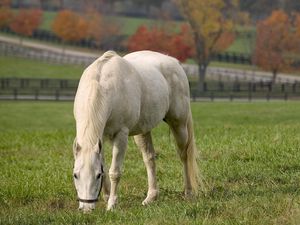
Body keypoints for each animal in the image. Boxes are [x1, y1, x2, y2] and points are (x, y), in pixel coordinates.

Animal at [72, 50, 199, 212]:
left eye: (97, 175)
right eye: (75, 175)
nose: (86, 208)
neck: (103, 85)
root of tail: (174, 62)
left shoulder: (121, 135)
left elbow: (114, 171)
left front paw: (112, 204)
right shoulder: (100, 138)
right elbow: (105, 165)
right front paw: (106, 197)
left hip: (179, 124)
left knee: (184, 155)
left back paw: (188, 192)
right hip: (143, 131)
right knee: (149, 159)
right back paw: (151, 197)